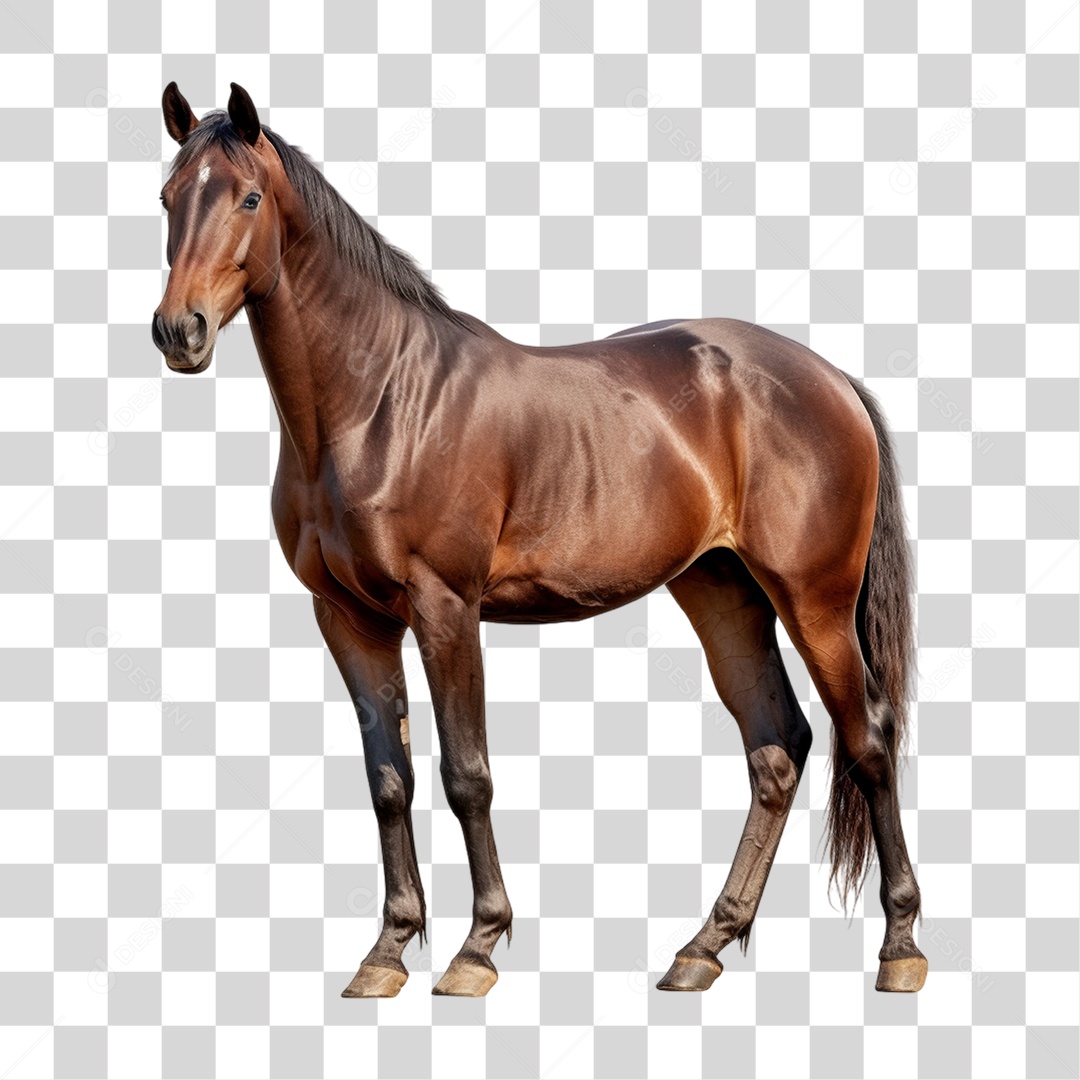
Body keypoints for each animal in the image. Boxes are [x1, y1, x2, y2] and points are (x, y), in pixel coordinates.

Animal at [153, 82, 926, 999]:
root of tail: (830, 378)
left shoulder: (446, 609)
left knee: (868, 738)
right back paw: (703, 947)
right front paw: (387, 951)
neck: (379, 403)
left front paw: (476, 948)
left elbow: (465, 775)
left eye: (248, 198)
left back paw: (901, 947)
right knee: (778, 749)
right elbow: (389, 781)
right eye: (167, 197)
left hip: (814, 600)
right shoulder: (348, 619)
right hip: (722, 591)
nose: (180, 332)